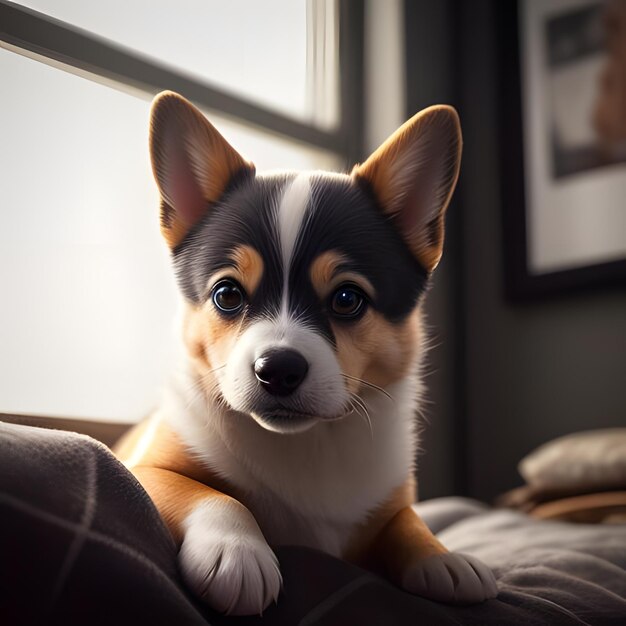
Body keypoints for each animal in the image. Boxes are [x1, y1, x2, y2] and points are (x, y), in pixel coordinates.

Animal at [116, 91, 498, 616]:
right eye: (226, 295)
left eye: (347, 299)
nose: (277, 370)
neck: (309, 440)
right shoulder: (145, 470)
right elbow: (209, 493)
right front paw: (236, 551)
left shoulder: (393, 500)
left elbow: (408, 521)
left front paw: (443, 557)